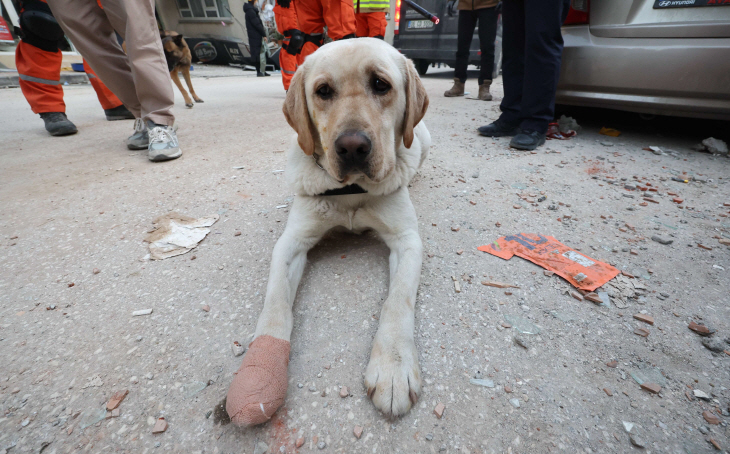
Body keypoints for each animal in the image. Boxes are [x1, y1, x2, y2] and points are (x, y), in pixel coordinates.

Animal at [226, 38, 426, 426]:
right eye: (323, 91)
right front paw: (258, 376)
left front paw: (393, 366)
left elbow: (397, 301)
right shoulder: (291, 243)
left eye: (381, 84)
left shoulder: (407, 240)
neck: (351, 192)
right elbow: (275, 304)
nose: (352, 147)